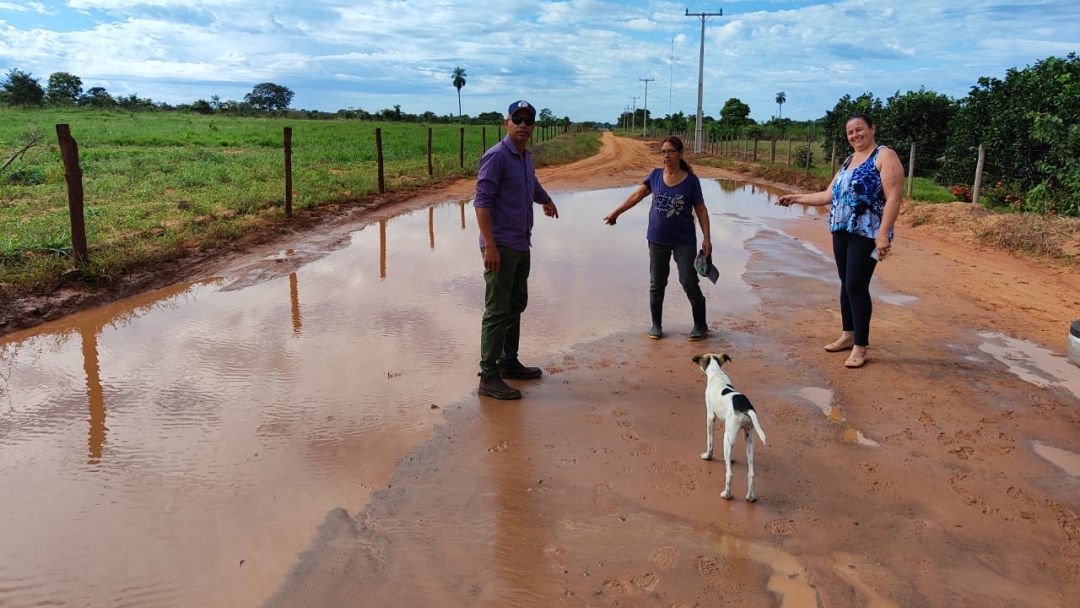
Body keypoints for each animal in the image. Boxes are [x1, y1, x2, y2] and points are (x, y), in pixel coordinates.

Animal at [691, 354, 768, 501]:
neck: (717, 373)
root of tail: (746, 407)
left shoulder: (710, 417)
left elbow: (710, 441)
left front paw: (708, 456)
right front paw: (729, 459)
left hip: (727, 438)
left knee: (729, 474)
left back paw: (726, 494)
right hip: (749, 438)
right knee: (751, 473)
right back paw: (750, 497)